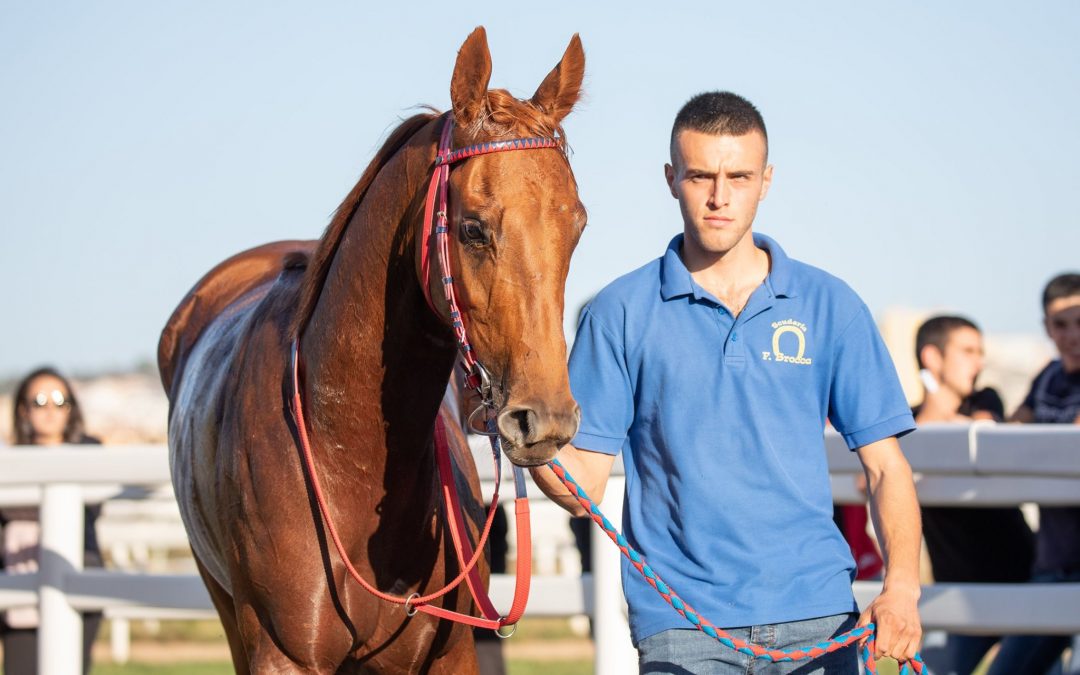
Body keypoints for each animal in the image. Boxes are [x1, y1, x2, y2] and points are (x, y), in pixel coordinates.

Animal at [157, 30, 587, 673]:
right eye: (473, 229)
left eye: (576, 226)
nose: (547, 418)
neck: (344, 457)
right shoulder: (280, 656)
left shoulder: (449, 652)